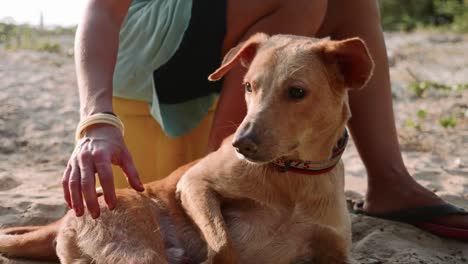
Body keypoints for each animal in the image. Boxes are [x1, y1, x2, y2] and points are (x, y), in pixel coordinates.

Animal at [0, 33, 372, 264]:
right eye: (249, 87)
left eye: (296, 92)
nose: (240, 144)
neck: (292, 177)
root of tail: (65, 219)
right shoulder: (194, 183)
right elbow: (223, 245)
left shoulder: (337, 251)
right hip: (137, 249)